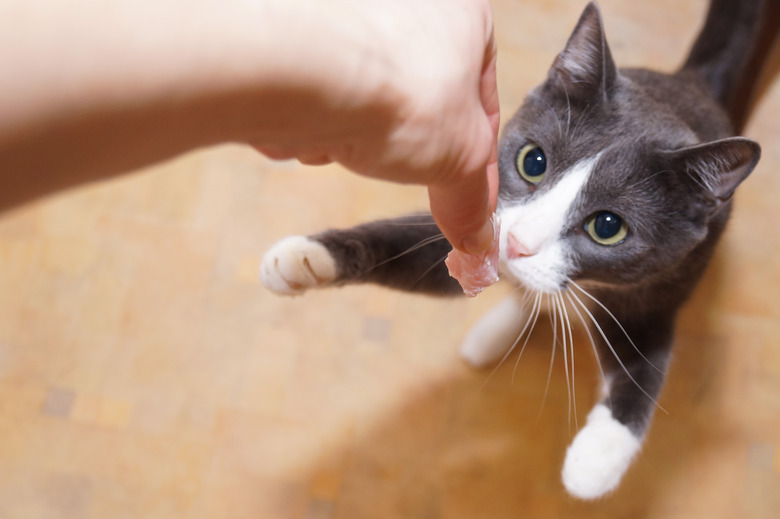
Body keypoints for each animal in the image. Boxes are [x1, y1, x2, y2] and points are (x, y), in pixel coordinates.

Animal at [258, 0, 772, 504]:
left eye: (608, 227)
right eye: (533, 161)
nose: (517, 244)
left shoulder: (661, 282)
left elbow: (645, 363)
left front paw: (595, 460)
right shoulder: (477, 229)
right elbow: (410, 252)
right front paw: (304, 259)